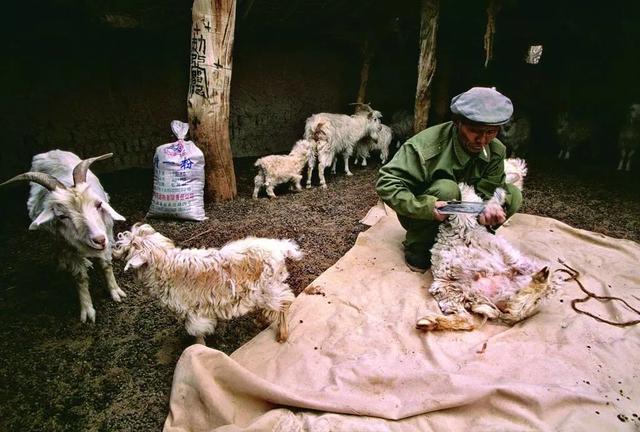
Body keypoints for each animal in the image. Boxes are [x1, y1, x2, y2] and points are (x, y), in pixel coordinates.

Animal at [0, 150, 127, 322]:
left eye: (98, 204)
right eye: (62, 216)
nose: (99, 240)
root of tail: (49, 152)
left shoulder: (107, 233)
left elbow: (106, 265)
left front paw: (115, 292)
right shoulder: (68, 246)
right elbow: (80, 278)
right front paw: (87, 310)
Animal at [114, 223, 304, 344]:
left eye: (129, 248)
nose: (115, 248)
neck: (167, 266)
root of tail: (280, 248)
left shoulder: (193, 313)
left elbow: (196, 331)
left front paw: (198, 348)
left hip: (268, 288)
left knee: (285, 301)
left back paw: (282, 334)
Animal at [418, 160, 556, 332]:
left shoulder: (468, 209)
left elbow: (476, 197)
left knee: (524, 305)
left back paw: (540, 278)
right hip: (449, 290)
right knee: (469, 320)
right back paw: (429, 322)